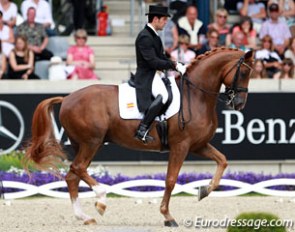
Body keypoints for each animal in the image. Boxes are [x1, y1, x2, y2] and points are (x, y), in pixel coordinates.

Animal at [24, 48, 254, 227]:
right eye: (243, 72)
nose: (240, 103)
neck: (196, 95)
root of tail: (67, 98)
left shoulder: (199, 145)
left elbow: (223, 161)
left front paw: (204, 190)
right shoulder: (181, 146)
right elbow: (171, 180)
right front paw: (167, 216)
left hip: (82, 144)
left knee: (73, 176)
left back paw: (84, 216)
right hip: (92, 142)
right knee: (78, 168)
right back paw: (101, 200)